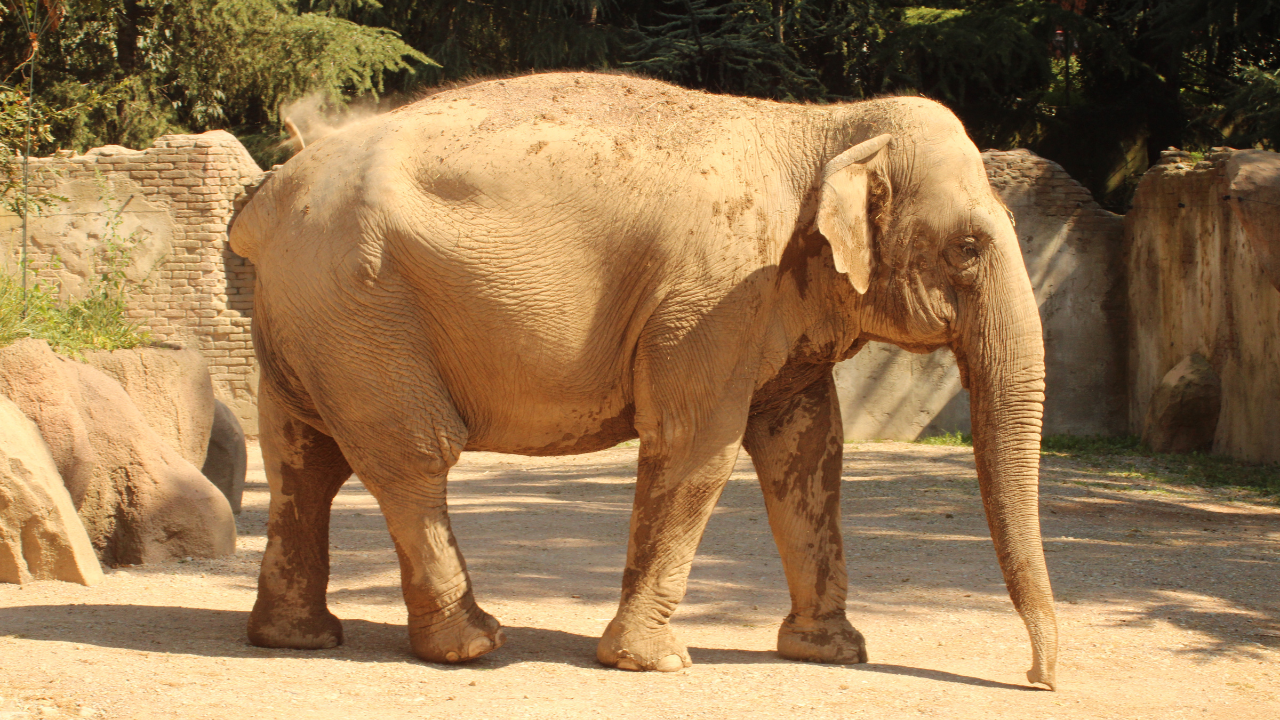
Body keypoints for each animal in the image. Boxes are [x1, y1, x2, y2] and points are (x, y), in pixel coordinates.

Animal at [230, 70, 1059, 686]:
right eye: (969, 249)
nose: (1040, 678)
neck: (823, 126)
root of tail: (266, 198)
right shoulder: (715, 294)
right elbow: (696, 446)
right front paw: (656, 664)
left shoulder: (766, 306)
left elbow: (808, 451)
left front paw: (834, 653)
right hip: (363, 310)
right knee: (412, 457)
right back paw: (473, 645)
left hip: (311, 321)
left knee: (304, 459)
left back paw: (298, 638)